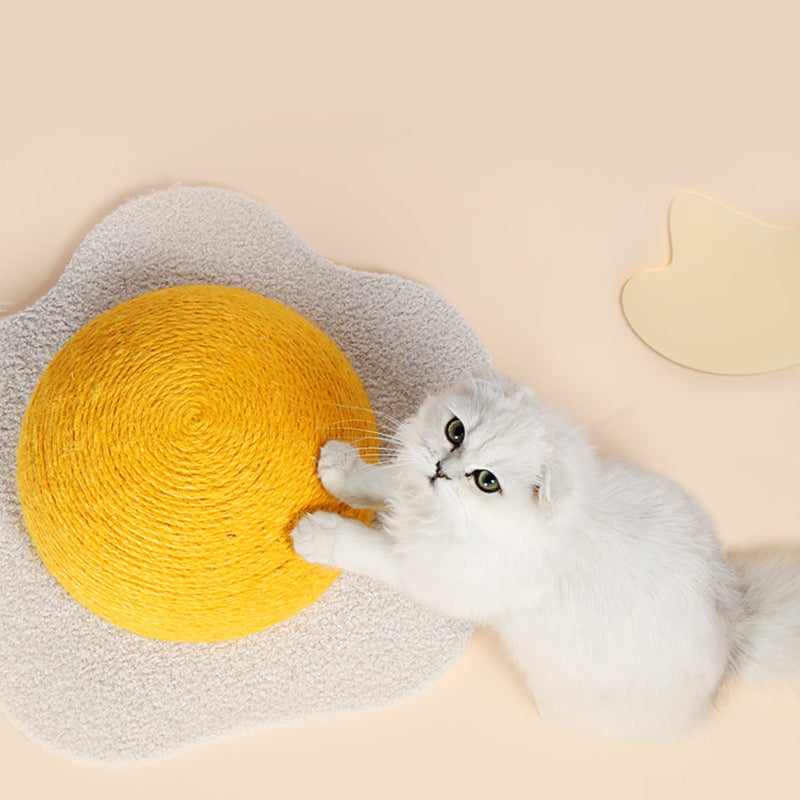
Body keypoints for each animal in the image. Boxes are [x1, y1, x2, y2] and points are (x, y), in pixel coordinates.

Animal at [292, 372, 800, 740]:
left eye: (486, 481)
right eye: (454, 431)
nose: (441, 468)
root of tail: (734, 628)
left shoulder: (425, 572)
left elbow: (362, 546)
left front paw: (314, 533)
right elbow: (382, 480)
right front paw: (339, 469)